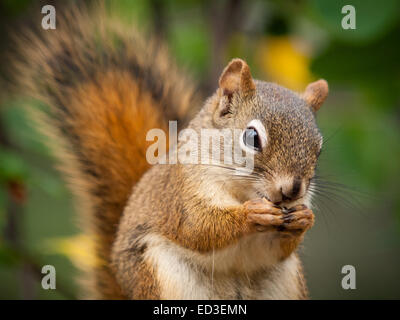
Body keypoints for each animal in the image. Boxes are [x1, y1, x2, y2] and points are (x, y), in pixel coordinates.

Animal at [9, 3, 328, 300]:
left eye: (319, 149)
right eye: (252, 137)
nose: (293, 190)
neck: (241, 191)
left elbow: (280, 249)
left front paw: (304, 219)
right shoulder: (181, 191)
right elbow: (199, 227)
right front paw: (252, 213)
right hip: (161, 275)